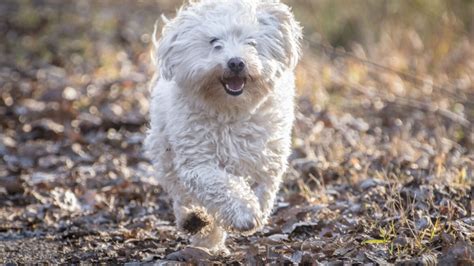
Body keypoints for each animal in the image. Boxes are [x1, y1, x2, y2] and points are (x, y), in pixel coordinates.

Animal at [144, 0, 302, 258]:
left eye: (251, 42)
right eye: (214, 42)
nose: (236, 62)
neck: (230, 110)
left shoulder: (268, 158)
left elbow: (262, 190)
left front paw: (252, 210)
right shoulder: (198, 162)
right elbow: (221, 185)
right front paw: (244, 213)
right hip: (164, 151)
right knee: (180, 193)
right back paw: (195, 222)